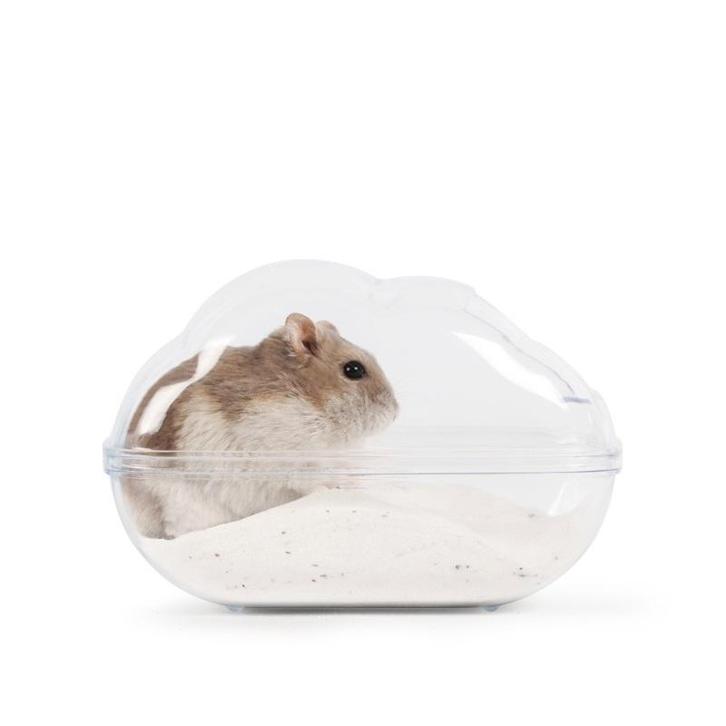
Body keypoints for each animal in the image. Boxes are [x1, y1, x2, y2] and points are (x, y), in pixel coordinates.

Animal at [122, 313, 398, 539]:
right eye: (354, 369)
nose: (395, 413)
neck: (314, 406)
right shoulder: (288, 457)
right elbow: (313, 478)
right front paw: (344, 484)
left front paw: (358, 483)